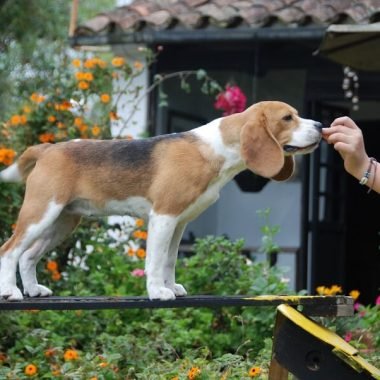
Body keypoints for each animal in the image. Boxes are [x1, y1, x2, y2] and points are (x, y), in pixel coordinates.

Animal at [0, 101, 322, 300]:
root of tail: (48, 149)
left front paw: (171, 287)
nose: (320, 125)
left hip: (62, 222)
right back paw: (11, 292)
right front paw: (157, 291)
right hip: (41, 213)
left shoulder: (179, 223)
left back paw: (33, 289)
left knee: (28, 256)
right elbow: (155, 260)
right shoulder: (163, 216)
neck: (216, 149)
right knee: (10, 250)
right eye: (287, 118)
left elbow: (169, 260)